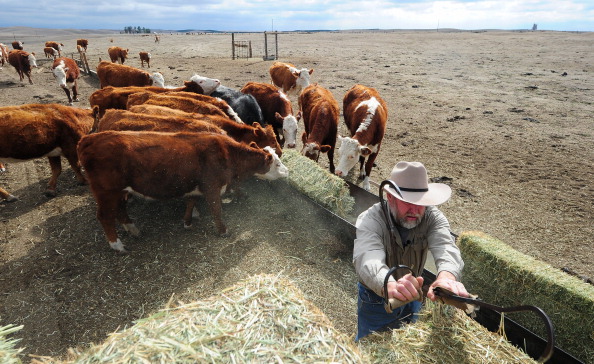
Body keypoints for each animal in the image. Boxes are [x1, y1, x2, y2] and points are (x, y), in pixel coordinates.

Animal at [77, 129, 286, 252]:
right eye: (276, 163)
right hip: (106, 192)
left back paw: (133, 229)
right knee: (105, 216)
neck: (227, 154)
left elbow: (191, 201)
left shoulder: (195, 188)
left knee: (120, 210)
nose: (287, 171)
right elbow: (216, 210)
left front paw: (187, 222)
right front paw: (223, 231)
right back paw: (117, 244)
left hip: (120, 192)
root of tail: (89, 138)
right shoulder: (212, 188)